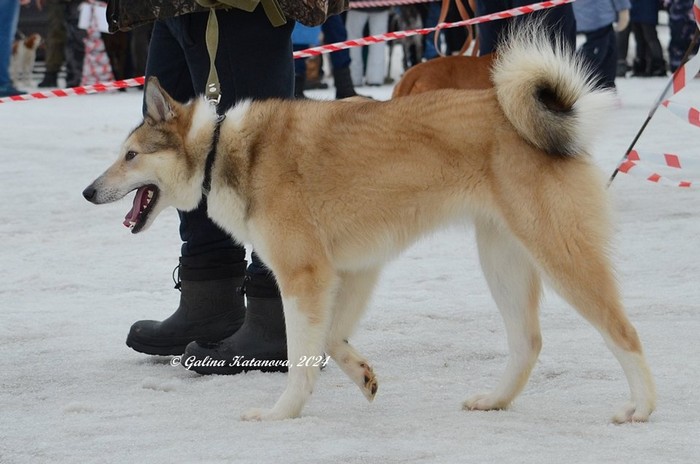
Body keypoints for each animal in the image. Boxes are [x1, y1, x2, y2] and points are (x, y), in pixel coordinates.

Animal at [83, 24, 655, 423]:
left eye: (130, 156)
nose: (88, 192)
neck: (223, 149)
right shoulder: (352, 271)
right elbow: (332, 339)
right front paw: (361, 376)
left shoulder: (304, 276)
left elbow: (301, 356)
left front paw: (281, 413)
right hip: (502, 257)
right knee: (528, 342)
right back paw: (495, 400)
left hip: (559, 254)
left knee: (624, 332)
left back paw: (642, 407)